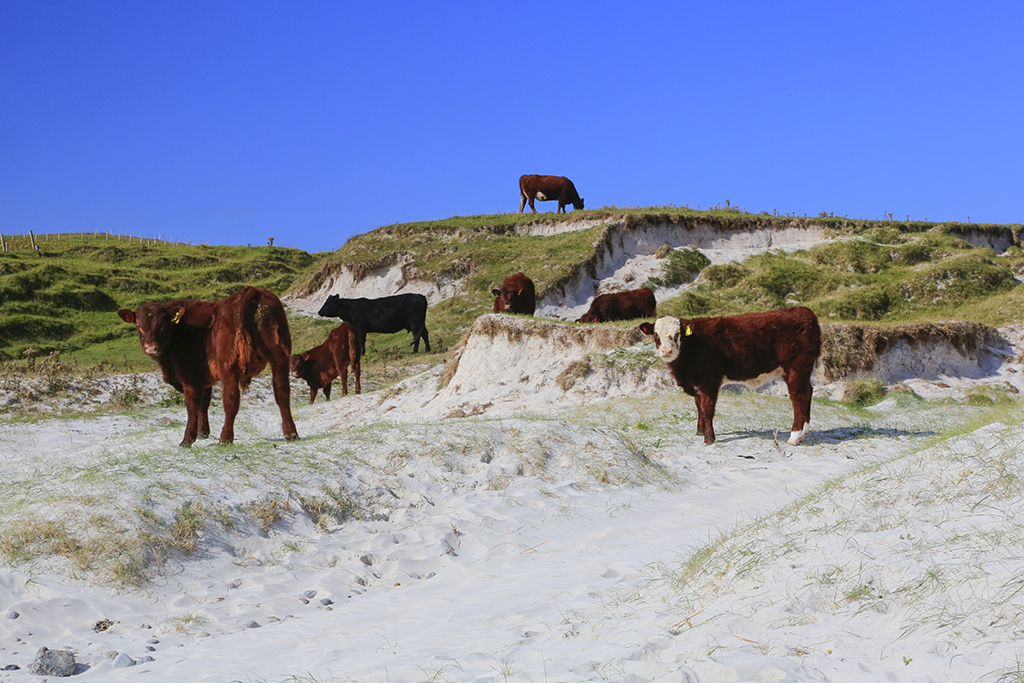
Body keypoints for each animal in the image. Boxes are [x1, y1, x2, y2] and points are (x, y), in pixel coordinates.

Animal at [119, 286, 299, 446]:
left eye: (162, 325)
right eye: (139, 326)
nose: (151, 348)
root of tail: (253, 292)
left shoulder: (191, 377)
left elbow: (193, 406)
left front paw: (188, 439)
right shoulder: (204, 377)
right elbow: (204, 404)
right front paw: (203, 432)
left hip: (230, 367)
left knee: (231, 401)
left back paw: (225, 438)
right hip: (279, 358)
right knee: (282, 393)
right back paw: (291, 433)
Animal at [638, 305, 823, 446]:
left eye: (677, 334)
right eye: (656, 335)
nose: (666, 351)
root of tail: (805, 312)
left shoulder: (709, 381)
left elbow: (707, 410)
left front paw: (709, 439)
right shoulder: (697, 383)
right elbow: (699, 407)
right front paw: (700, 431)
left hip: (796, 368)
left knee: (799, 396)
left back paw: (794, 437)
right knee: (808, 391)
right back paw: (803, 434)